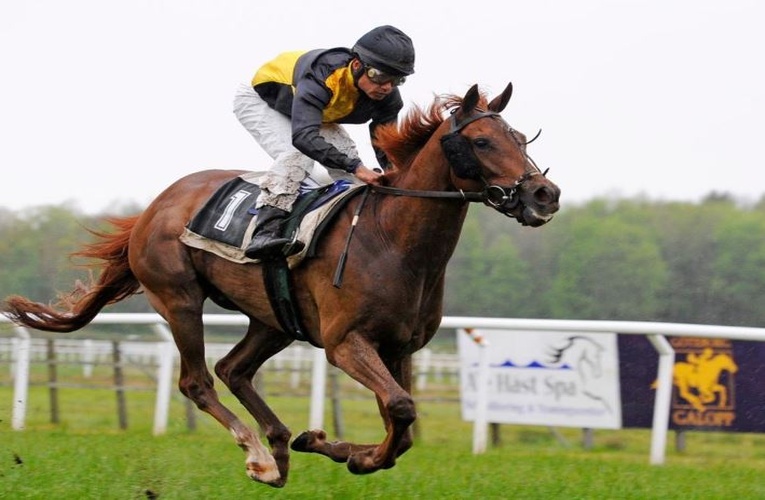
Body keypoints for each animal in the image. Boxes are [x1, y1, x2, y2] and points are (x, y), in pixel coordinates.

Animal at [3, 82, 560, 487]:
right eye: (483, 141)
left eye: (521, 139)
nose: (545, 194)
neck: (393, 239)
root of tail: (155, 206)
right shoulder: (345, 342)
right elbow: (401, 409)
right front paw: (348, 454)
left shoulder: (400, 347)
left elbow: (399, 428)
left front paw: (329, 446)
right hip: (178, 297)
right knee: (198, 381)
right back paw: (259, 456)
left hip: (273, 318)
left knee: (233, 369)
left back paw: (279, 445)